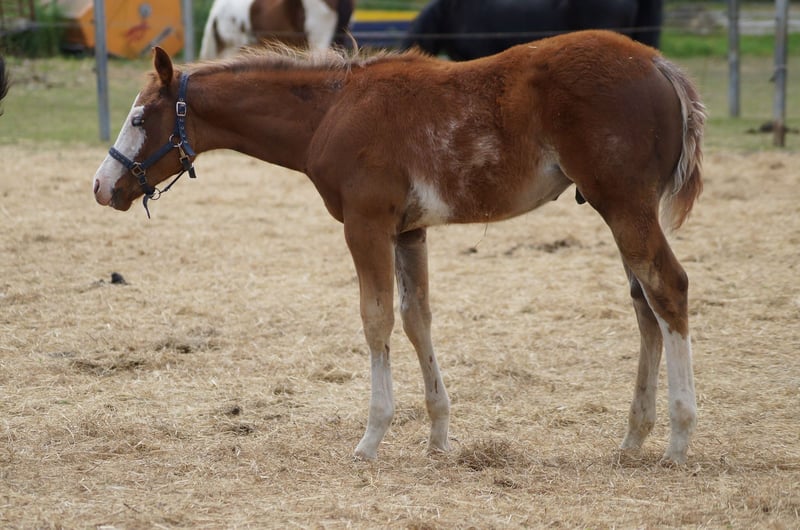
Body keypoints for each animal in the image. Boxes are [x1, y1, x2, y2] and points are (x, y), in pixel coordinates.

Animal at [93, 30, 705, 464]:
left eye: (139, 118)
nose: (103, 186)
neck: (332, 111)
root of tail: (659, 65)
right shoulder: (410, 231)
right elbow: (417, 319)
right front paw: (438, 435)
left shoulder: (365, 226)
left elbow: (376, 319)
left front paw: (371, 437)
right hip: (615, 209)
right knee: (644, 306)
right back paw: (633, 438)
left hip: (623, 205)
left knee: (669, 288)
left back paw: (677, 441)